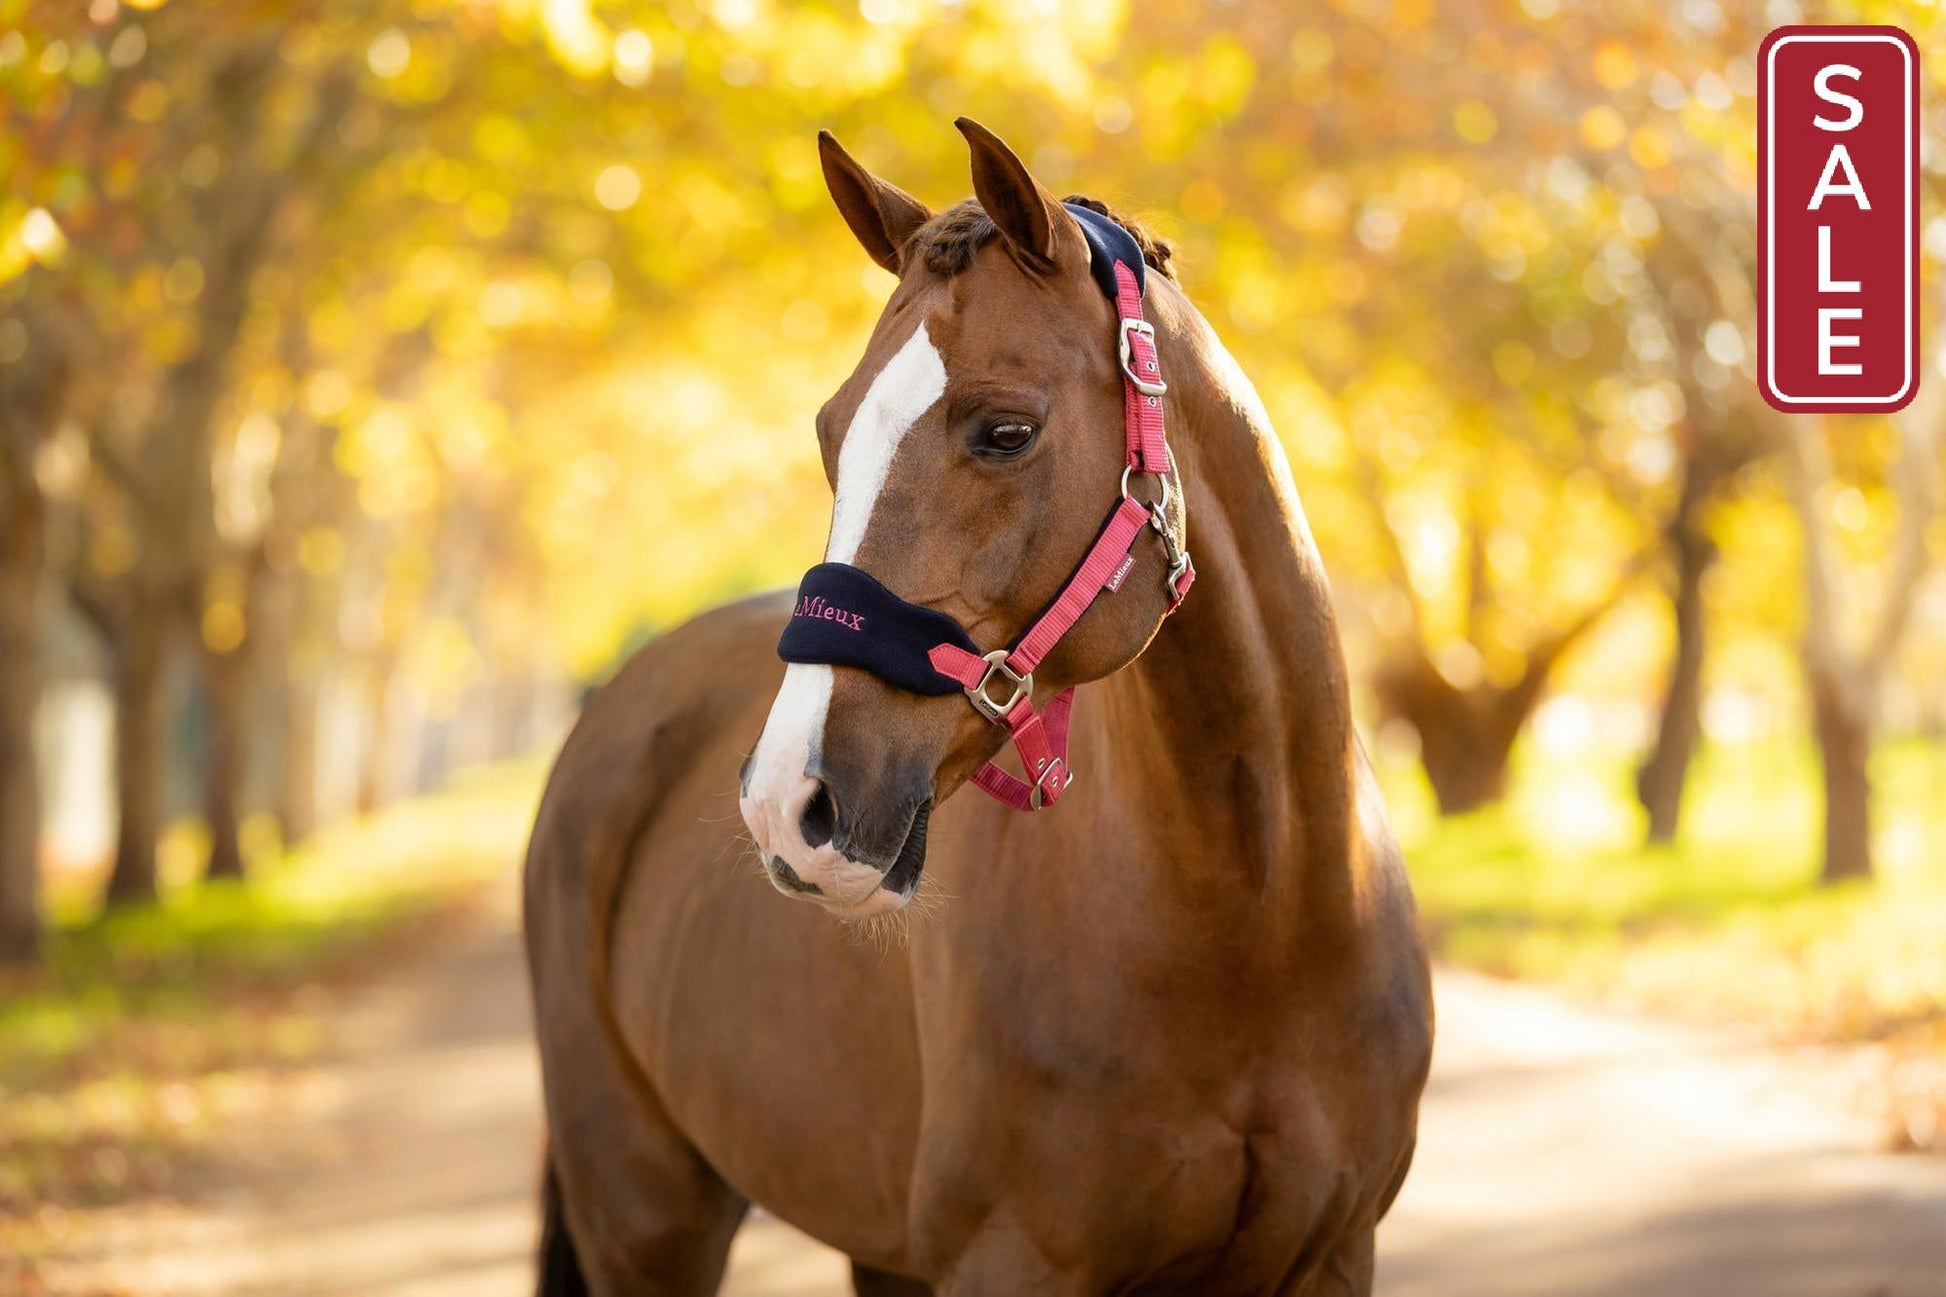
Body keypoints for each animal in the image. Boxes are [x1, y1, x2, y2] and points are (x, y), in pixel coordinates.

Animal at [524, 117, 1432, 1297]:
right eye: (830, 433)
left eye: (1004, 430)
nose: (786, 803)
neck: (1263, 921)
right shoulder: (1010, 1260)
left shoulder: (1330, 1253)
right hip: (642, 1214)